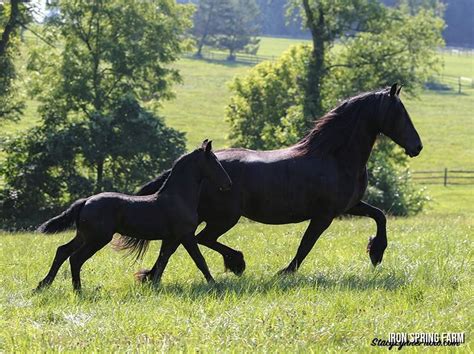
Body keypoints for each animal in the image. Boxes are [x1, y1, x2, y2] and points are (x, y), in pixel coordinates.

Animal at [122, 83, 422, 280]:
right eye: (400, 113)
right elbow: (306, 244)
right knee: (201, 238)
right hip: (224, 217)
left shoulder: (349, 206)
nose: (417, 147)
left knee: (176, 243)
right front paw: (285, 272)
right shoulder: (325, 215)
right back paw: (236, 263)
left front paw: (376, 253)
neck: (335, 157)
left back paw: (151, 276)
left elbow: (379, 215)